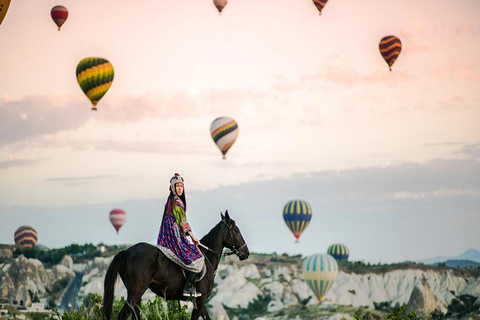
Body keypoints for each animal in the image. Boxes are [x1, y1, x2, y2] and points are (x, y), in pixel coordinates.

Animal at [102, 211, 249, 318]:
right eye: (236, 230)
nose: (246, 253)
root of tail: (127, 251)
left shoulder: (202, 304)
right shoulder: (200, 301)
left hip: (136, 296)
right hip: (134, 294)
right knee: (122, 315)